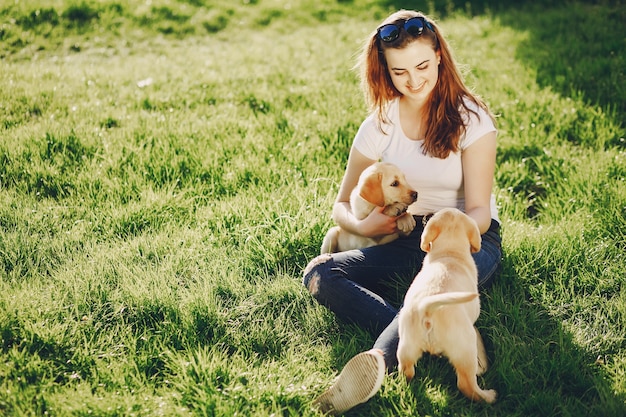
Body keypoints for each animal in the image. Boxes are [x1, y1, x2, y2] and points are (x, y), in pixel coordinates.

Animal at [398, 208, 494, 404]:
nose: (425, 216)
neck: (450, 253)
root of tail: (428, 311)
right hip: (465, 349)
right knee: (466, 384)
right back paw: (488, 396)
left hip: (406, 346)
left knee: (407, 371)